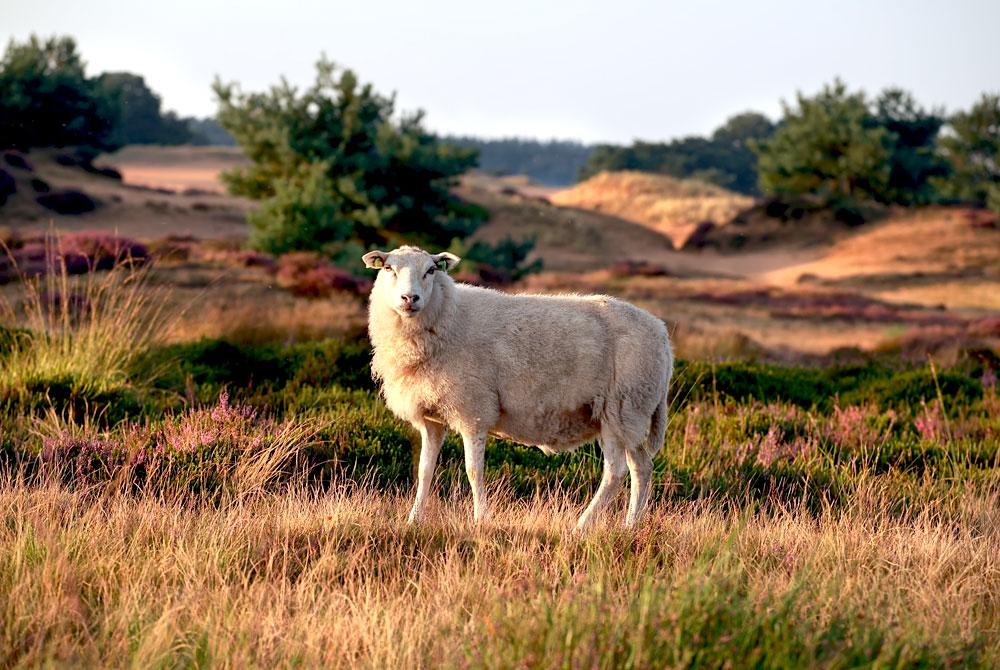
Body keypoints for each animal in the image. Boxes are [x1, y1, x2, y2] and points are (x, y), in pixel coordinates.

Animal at [360, 244, 672, 532]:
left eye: (431, 271)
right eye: (388, 268)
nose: (409, 298)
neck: (450, 317)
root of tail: (661, 333)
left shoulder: (473, 410)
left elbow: (473, 471)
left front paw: (481, 520)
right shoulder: (432, 418)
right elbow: (425, 470)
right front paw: (414, 520)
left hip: (621, 407)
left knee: (616, 471)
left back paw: (582, 526)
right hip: (630, 414)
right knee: (641, 467)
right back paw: (630, 525)